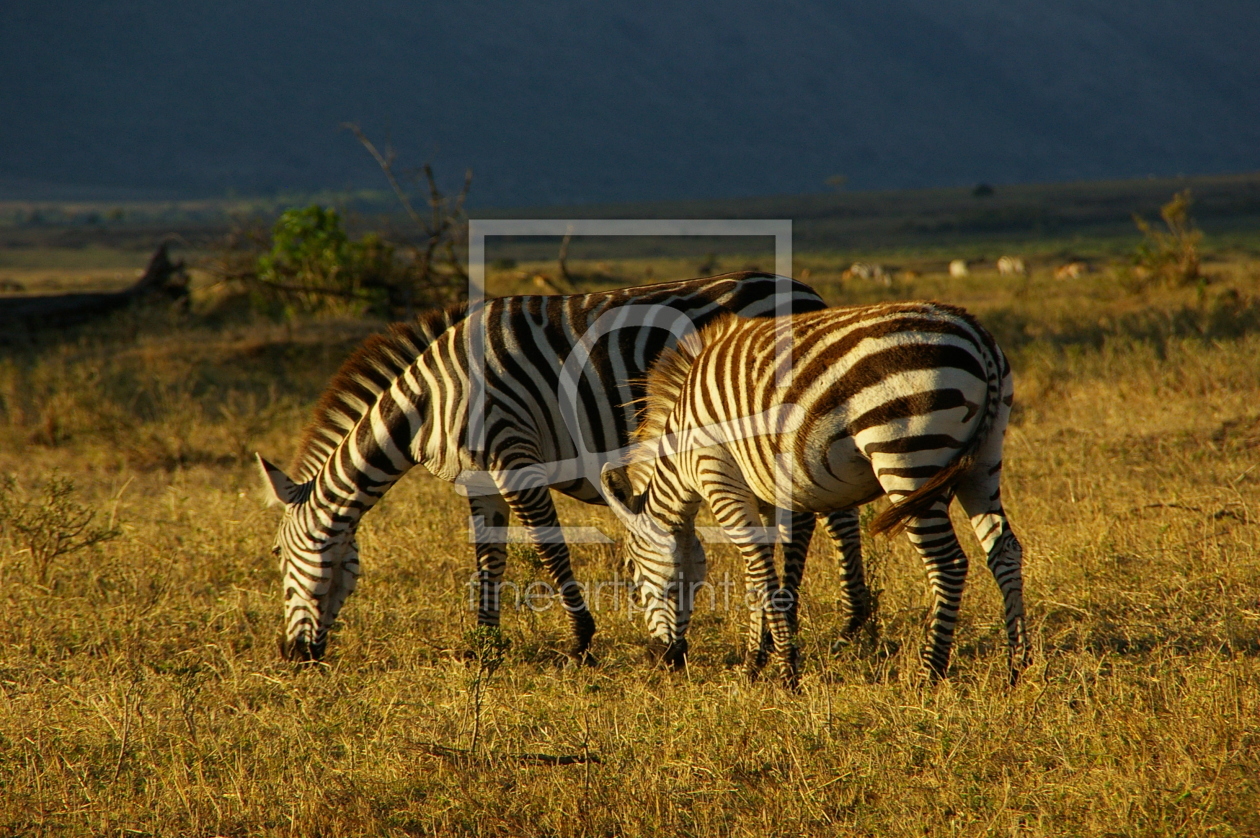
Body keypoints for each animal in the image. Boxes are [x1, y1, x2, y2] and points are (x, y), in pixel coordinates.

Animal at [253, 274, 846, 665]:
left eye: (278, 554)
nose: (290, 655)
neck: (428, 402)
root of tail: (803, 289)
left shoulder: (514, 455)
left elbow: (548, 547)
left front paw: (580, 640)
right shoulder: (479, 480)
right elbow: (489, 559)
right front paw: (485, 646)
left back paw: (834, 625)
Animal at [604, 301, 1028, 685]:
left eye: (633, 578)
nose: (661, 659)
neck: (680, 445)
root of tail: (976, 334)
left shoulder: (718, 476)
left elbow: (760, 573)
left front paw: (784, 672)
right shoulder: (766, 490)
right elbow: (762, 579)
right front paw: (757, 662)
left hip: (908, 459)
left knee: (948, 563)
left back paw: (930, 674)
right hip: (983, 458)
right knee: (1004, 550)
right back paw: (1016, 667)